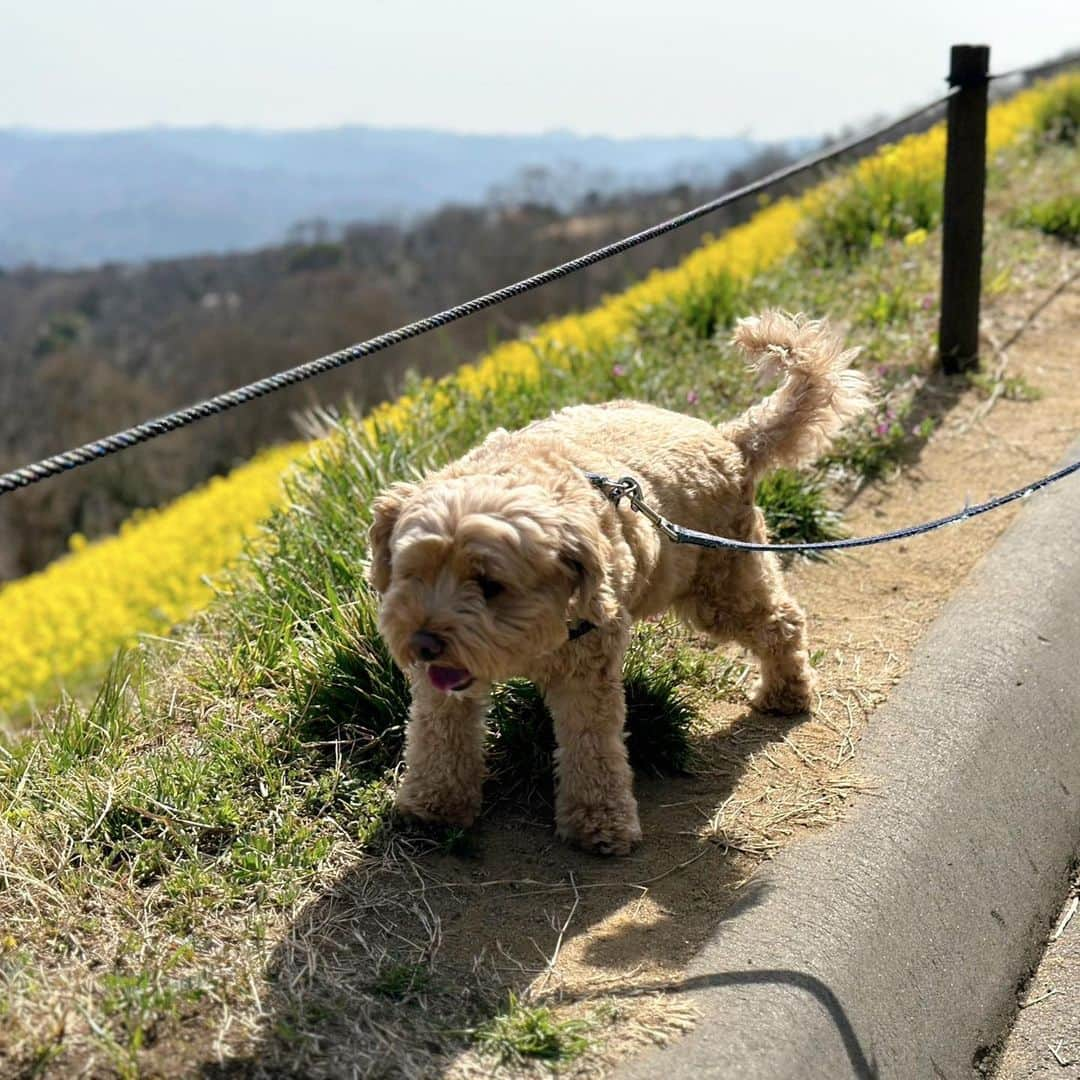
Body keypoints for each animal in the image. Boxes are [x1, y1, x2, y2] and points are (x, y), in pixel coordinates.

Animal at [367, 313, 872, 851]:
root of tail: (730, 438)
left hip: (722, 584)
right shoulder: (444, 686)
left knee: (781, 621)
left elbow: (592, 748)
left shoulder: (587, 669)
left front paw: (599, 822)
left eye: (490, 585)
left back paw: (786, 691)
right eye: (412, 572)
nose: (422, 643)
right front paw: (434, 805)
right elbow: (439, 735)